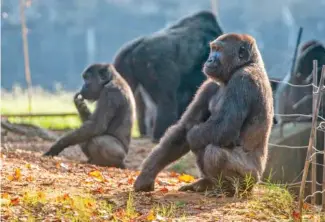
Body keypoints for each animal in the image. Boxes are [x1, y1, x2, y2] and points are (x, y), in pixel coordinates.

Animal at [133, 33, 272, 196]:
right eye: (213, 49)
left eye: (219, 50)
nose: (209, 60)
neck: (248, 63)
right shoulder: (209, 85)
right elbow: (183, 129)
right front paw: (147, 174)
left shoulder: (243, 80)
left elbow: (222, 129)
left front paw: (193, 135)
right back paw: (207, 183)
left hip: (251, 179)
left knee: (214, 152)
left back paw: (229, 189)